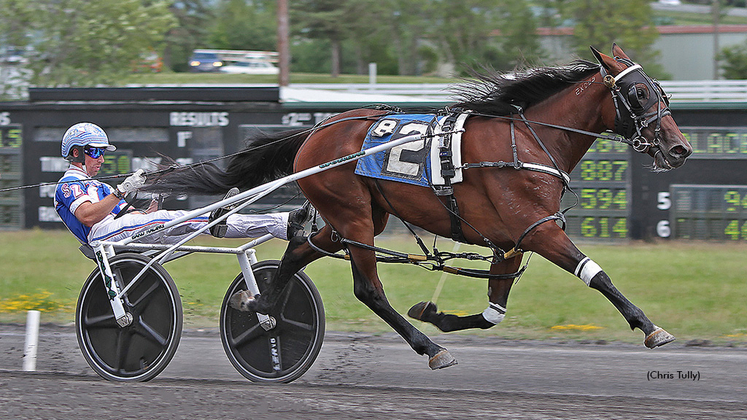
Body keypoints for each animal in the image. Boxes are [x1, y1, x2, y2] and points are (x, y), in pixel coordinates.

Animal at [146, 44, 696, 370]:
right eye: (639, 93)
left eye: (663, 92)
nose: (679, 148)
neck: (526, 142)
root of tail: (316, 131)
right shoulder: (538, 230)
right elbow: (597, 275)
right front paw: (650, 328)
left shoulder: (513, 240)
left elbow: (493, 311)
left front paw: (436, 313)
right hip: (353, 216)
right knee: (367, 288)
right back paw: (429, 349)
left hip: (357, 215)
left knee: (301, 248)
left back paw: (261, 306)